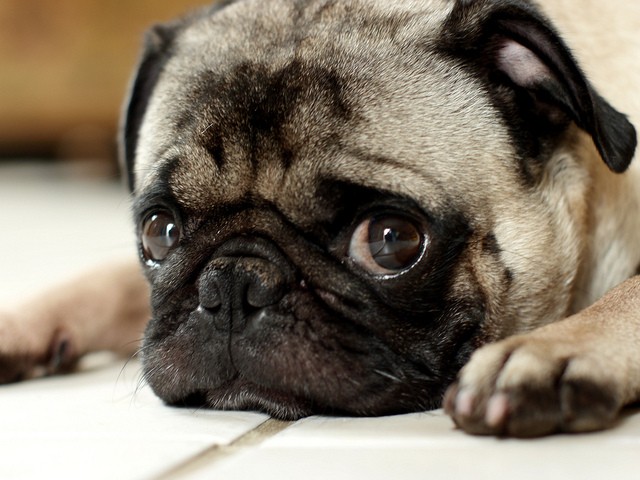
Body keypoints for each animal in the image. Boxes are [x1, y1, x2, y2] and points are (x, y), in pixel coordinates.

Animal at [1, 0, 640, 438]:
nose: (233, 284)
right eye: (159, 232)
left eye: (390, 241)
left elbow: (629, 293)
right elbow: (106, 281)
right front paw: (23, 321)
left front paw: (550, 349)